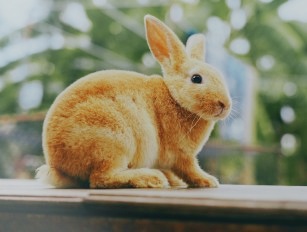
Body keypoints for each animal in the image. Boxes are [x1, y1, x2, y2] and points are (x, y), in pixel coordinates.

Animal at [36, 14, 232, 188]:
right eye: (196, 78)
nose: (225, 105)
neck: (175, 99)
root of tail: (57, 165)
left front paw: (177, 181)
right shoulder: (181, 156)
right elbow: (190, 170)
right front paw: (208, 181)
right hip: (114, 140)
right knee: (101, 178)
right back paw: (150, 178)